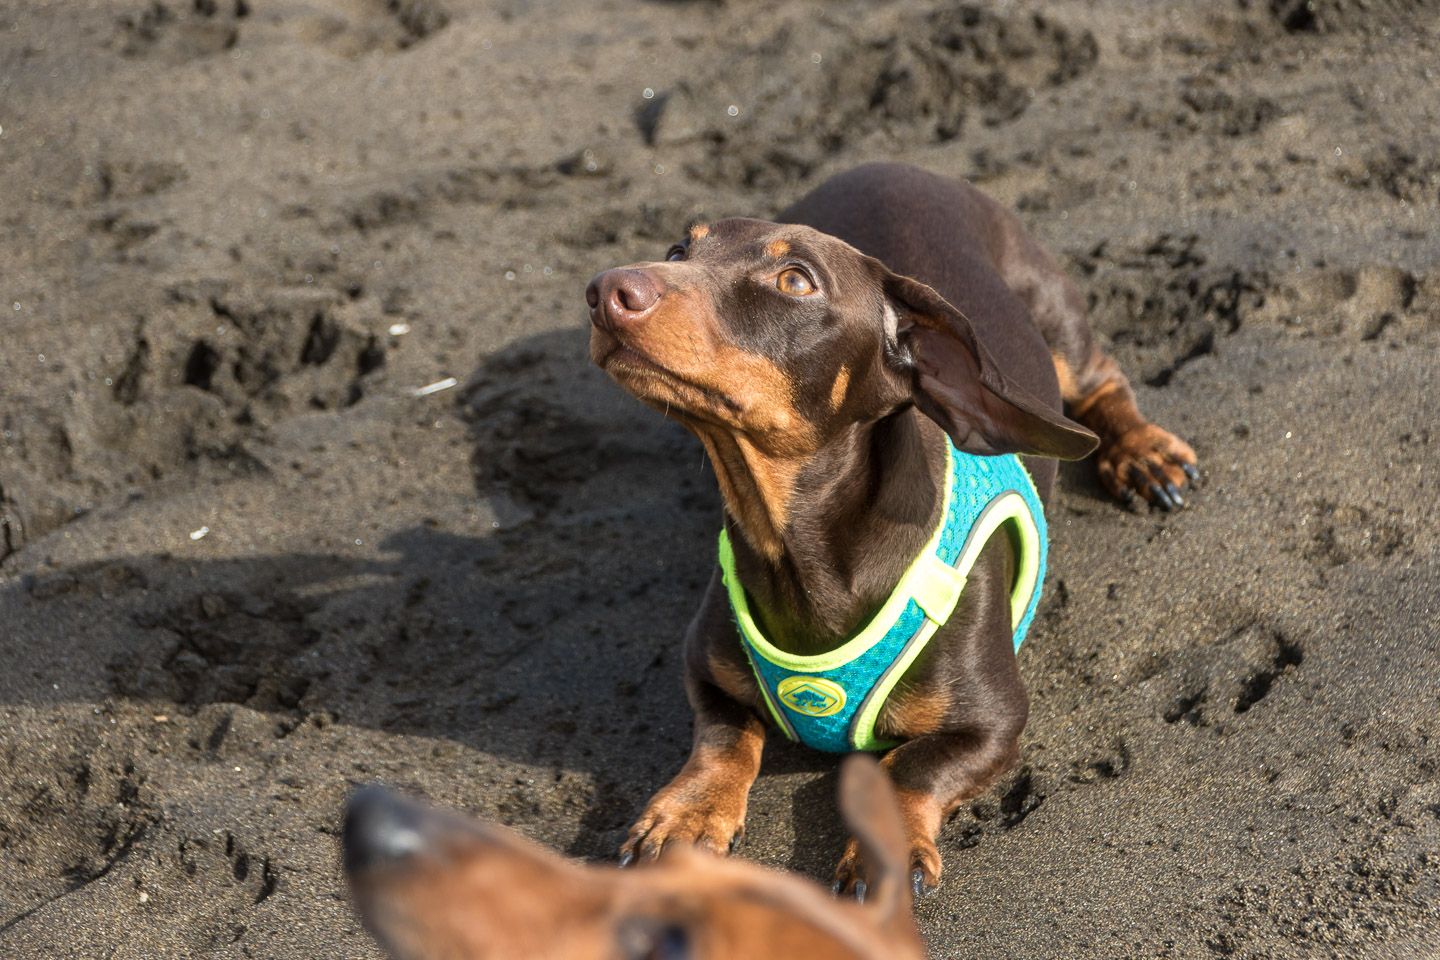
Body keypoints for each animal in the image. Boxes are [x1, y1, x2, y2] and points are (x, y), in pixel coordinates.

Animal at [584, 159, 1203, 903]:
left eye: (795, 280)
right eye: (680, 250)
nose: (605, 291)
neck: (799, 542)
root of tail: (893, 163)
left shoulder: (994, 722)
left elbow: (908, 769)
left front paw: (887, 848)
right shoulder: (706, 673)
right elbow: (722, 740)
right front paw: (686, 816)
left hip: (1059, 325)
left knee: (1102, 382)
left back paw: (1144, 454)